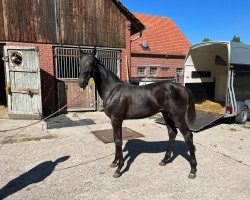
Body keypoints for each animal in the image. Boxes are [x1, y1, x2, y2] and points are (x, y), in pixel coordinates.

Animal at [78, 47, 197, 179]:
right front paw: (114, 162)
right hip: (166, 114)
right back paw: (164, 160)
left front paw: (119, 169)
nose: (81, 82)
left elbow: (118, 141)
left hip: (178, 117)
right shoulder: (114, 121)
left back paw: (192, 170)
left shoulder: (117, 119)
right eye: (79, 62)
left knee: (188, 136)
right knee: (172, 133)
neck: (113, 90)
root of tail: (183, 88)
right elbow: (115, 139)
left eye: (92, 63)